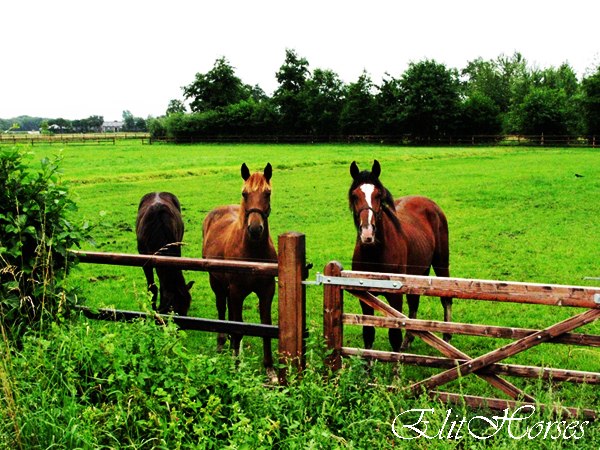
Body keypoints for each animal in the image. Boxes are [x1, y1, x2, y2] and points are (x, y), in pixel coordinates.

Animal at [202, 163, 277, 376]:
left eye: (267, 193)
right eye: (244, 193)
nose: (255, 229)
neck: (253, 253)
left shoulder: (267, 291)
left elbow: (265, 326)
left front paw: (269, 368)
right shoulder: (236, 292)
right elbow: (238, 327)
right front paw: (236, 367)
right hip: (217, 283)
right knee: (221, 308)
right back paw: (221, 344)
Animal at [349, 160, 452, 351]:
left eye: (378, 195)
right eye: (354, 195)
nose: (367, 233)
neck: (375, 254)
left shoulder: (395, 297)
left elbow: (394, 336)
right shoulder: (365, 298)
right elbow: (368, 333)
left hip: (441, 263)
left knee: (446, 299)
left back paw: (447, 337)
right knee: (414, 302)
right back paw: (408, 340)